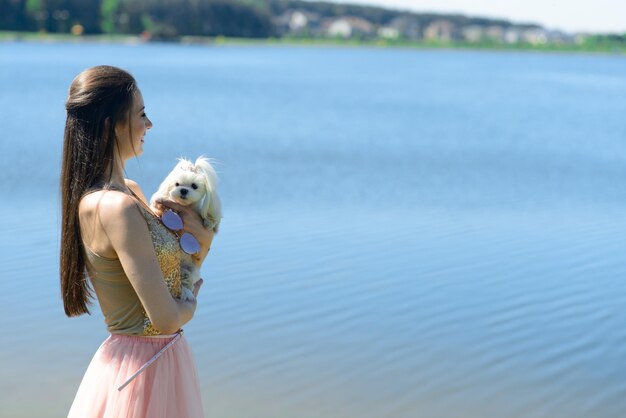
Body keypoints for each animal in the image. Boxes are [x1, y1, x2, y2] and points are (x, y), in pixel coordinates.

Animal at [150, 156, 221, 300]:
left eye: (194, 186)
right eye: (177, 184)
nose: (183, 190)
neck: (186, 206)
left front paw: (209, 222)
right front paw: (160, 201)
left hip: (192, 269)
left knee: (188, 279)